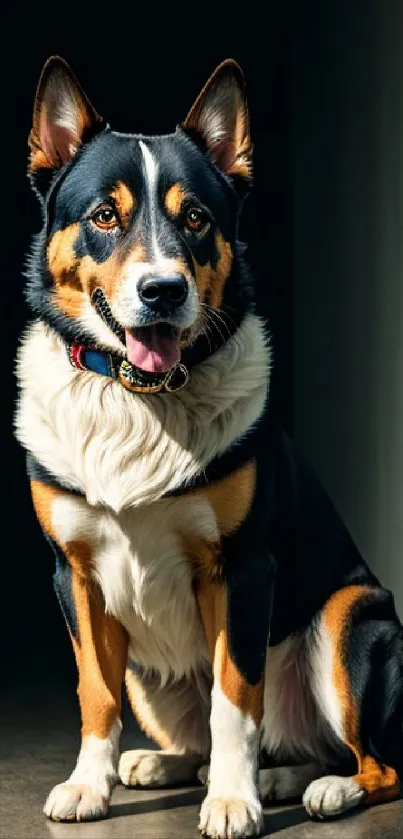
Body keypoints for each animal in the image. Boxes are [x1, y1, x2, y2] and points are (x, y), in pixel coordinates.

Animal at [14, 55, 402, 836]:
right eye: (104, 216)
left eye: (195, 218)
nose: (162, 291)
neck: (140, 399)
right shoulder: (73, 574)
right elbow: (95, 691)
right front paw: (88, 784)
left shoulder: (244, 570)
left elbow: (235, 700)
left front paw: (232, 798)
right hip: (152, 675)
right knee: (211, 737)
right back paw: (182, 766)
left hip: (352, 614)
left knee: (370, 759)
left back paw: (316, 787)